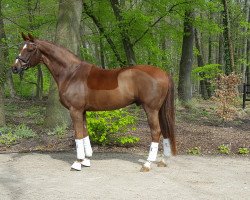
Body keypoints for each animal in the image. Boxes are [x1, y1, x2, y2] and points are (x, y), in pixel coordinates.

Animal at [11, 33, 176, 172]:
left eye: (30, 49)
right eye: (21, 47)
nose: (15, 68)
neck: (71, 73)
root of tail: (164, 73)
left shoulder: (75, 110)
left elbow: (78, 135)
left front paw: (78, 162)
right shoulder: (82, 111)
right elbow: (85, 133)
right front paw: (86, 160)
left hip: (151, 109)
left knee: (156, 132)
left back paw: (147, 164)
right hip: (159, 110)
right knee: (165, 130)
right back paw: (163, 161)